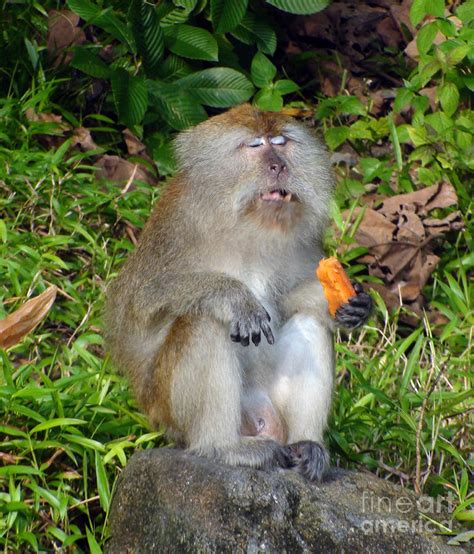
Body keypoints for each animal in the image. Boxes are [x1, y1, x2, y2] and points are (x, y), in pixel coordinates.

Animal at [104, 102, 374, 478]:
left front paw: (356, 304)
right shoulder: (175, 226)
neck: (247, 221)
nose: (279, 166)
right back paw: (221, 446)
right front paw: (234, 297)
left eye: (281, 142)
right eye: (256, 145)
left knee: (309, 323)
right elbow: (141, 302)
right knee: (203, 323)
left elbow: (289, 302)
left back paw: (306, 445)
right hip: (170, 412)